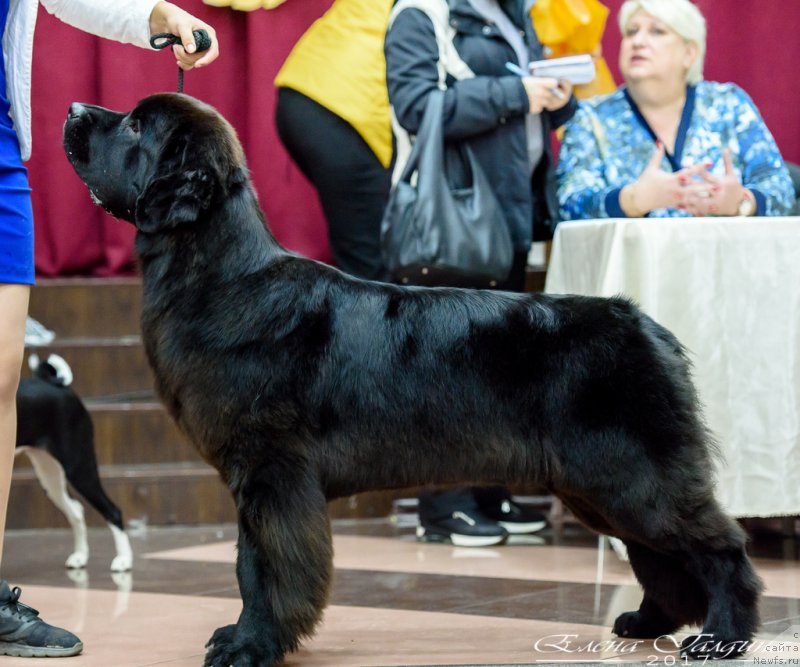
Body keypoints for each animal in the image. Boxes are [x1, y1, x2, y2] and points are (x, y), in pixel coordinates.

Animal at [16, 354, 133, 576]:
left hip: (79, 467)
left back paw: (124, 560)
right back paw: (80, 555)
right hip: (50, 474)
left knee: (113, 511)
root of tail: (56, 384)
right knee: (76, 510)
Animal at [64, 95, 764, 667]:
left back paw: (721, 638)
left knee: (721, 548)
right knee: (661, 555)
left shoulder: (273, 472)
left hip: (631, 474)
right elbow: (248, 563)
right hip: (601, 483)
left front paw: (253, 646)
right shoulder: (253, 478)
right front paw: (244, 638)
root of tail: (649, 327)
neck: (218, 276)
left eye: (134, 125)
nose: (72, 110)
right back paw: (648, 622)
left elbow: (268, 568)